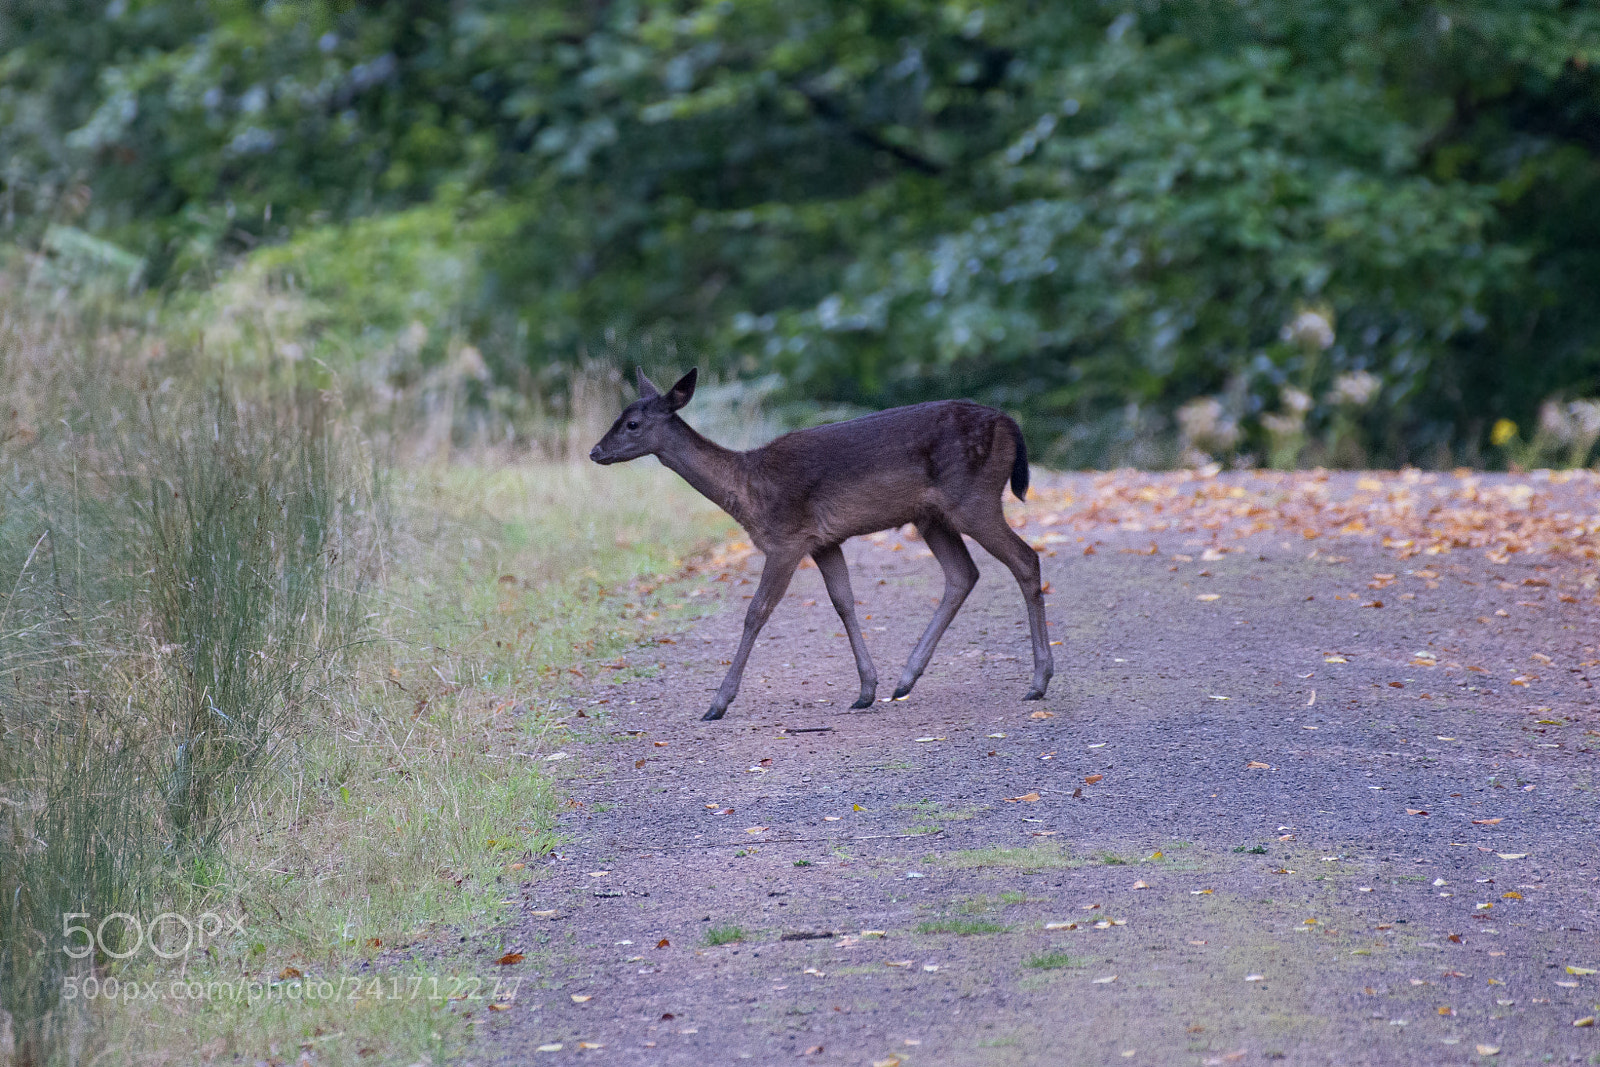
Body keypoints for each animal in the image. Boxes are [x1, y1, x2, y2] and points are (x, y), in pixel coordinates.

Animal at [589, 368, 1052, 721]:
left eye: (632, 423)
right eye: (619, 416)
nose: (595, 451)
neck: (748, 492)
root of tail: (1011, 424)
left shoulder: (786, 538)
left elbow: (756, 613)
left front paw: (717, 704)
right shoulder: (823, 541)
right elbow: (843, 601)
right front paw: (866, 689)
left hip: (973, 498)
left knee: (1025, 559)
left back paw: (1038, 682)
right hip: (933, 516)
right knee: (963, 574)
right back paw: (905, 679)